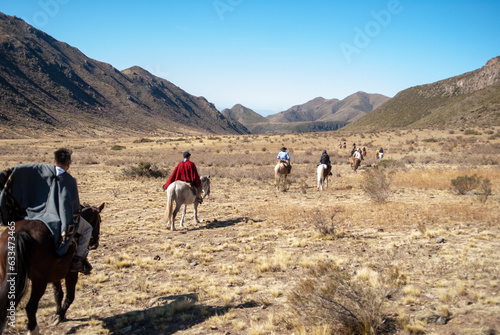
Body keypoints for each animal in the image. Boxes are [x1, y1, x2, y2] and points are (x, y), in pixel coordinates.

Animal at [0, 203, 104, 334]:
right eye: (99, 220)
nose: (94, 244)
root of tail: (20, 234)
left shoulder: (55, 274)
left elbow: (58, 294)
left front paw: (58, 314)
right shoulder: (71, 273)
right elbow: (70, 296)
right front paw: (59, 316)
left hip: (7, 276)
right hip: (39, 282)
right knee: (30, 307)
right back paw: (33, 330)